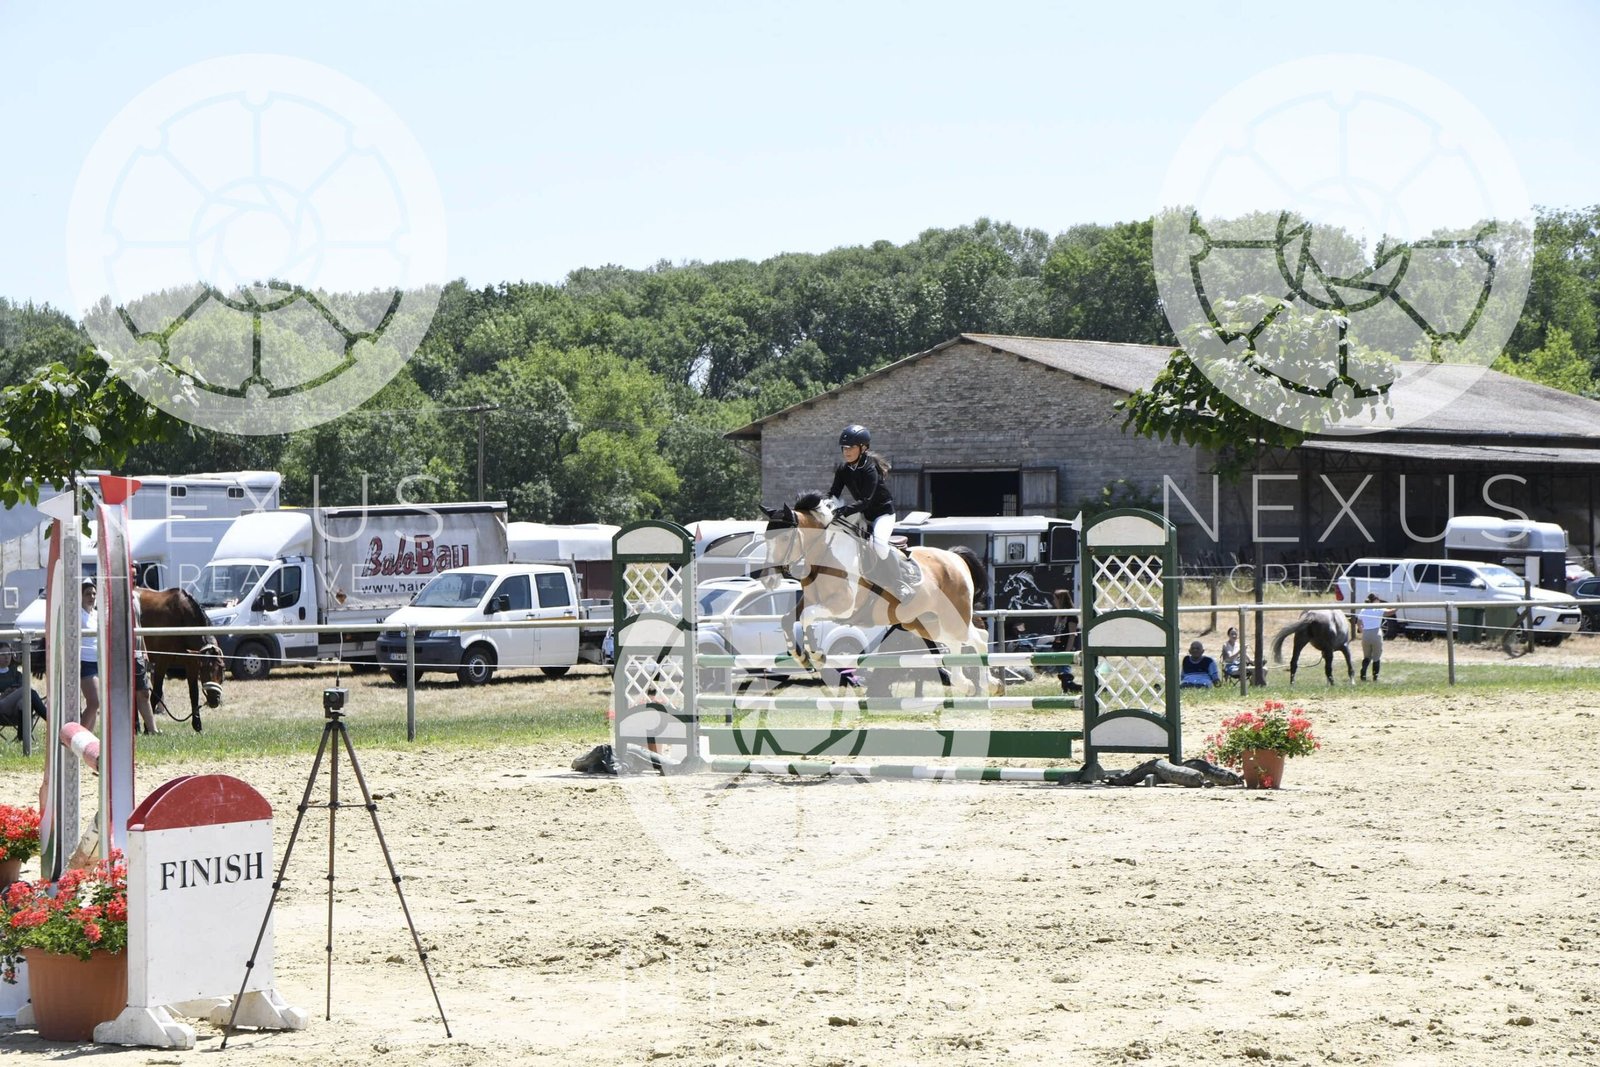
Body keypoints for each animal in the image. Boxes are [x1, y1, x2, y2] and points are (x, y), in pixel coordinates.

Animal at [137, 587, 225, 732]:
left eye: (222, 668)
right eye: (204, 669)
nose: (214, 700)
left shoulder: (192, 663)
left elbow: (194, 693)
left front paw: (197, 725)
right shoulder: (162, 661)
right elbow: (156, 692)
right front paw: (147, 728)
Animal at [760, 493, 996, 694]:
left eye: (783, 538)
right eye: (765, 539)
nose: (768, 579)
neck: (824, 553)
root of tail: (955, 558)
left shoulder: (843, 607)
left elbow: (806, 617)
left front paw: (816, 655)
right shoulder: (810, 601)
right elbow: (788, 620)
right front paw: (800, 656)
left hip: (951, 617)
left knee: (975, 639)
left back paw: (979, 684)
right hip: (925, 623)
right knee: (966, 639)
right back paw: (978, 684)